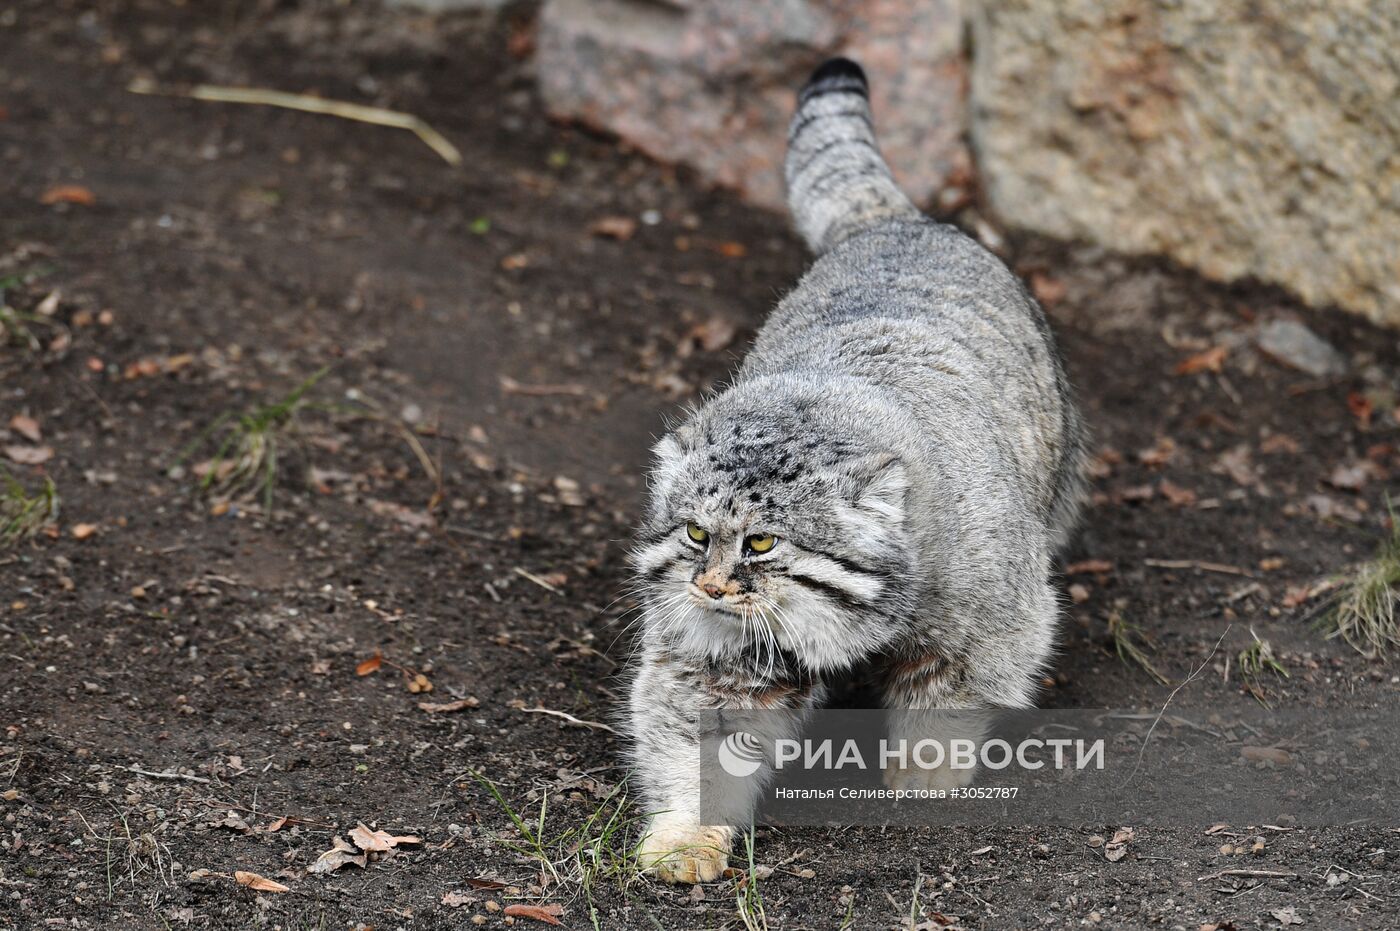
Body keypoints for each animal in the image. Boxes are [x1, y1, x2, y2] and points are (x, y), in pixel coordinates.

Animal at [630, 58, 1086, 879]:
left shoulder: (992, 622)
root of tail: (895, 222)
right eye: (693, 533)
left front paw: (925, 780)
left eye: (762, 542)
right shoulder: (710, 657)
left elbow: (950, 703)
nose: (708, 587)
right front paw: (687, 834)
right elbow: (697, 741)